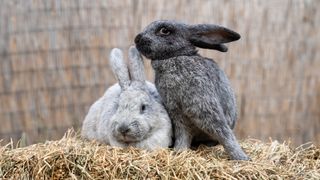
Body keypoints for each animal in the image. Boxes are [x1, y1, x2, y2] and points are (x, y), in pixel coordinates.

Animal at [134, 20, 249, 160]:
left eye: (164, 31)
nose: (137, 38)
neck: (176, 57)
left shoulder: (205, 107)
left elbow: (224, 134)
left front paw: (241, 158)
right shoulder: (177, 114)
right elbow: (183, 136)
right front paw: (179, 152)